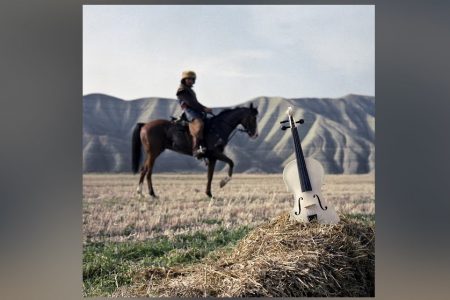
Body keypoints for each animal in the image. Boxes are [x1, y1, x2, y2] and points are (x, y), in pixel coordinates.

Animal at [130, 102, 258, 198]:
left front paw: (209, 194)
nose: (255, 134)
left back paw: (140, 192)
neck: (218, 127)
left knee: (144, 169)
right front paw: (223, 182)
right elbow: (231, 163)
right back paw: (152, 194)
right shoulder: (215, 153)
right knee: (148, 171)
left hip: (151, 153)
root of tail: (145, 125)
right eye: (253, 118)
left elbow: (210, 175)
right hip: (154, 152)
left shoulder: (212, 157)